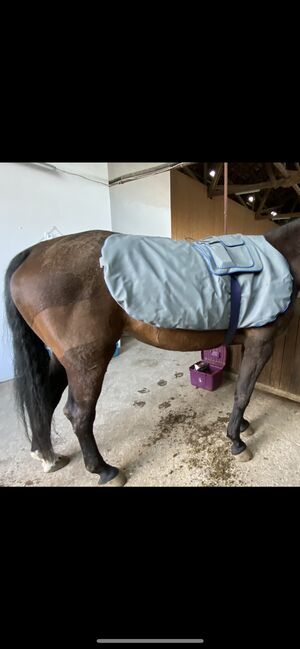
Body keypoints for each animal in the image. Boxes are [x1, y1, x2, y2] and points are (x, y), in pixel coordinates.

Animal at [4, 220, 300, 484]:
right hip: (87, 361)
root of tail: (35, 252)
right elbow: (243, 393)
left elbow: (242, 389)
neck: (282, 258)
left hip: (63, 359)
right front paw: (236, 442)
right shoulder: (261, 345)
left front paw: (242, 426)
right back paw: (104, 471)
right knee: (79, 413)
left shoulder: (251, 344)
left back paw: (47, 456)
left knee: (45, 398)